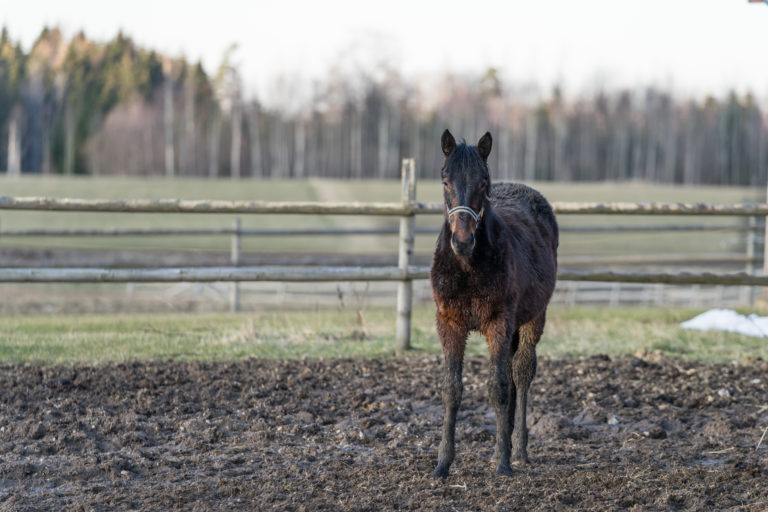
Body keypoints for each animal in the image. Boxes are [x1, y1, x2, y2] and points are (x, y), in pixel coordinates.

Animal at [430, 129, 559, 477]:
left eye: (483, 183)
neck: (467, 267)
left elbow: (499, 387)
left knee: (521, 372)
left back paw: (520, 451)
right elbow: (451, 389)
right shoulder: (449, 323)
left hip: (533, 317)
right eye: (445, 180)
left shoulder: (499, 322)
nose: (462, 241)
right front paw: (443, 463)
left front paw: (503, 462)